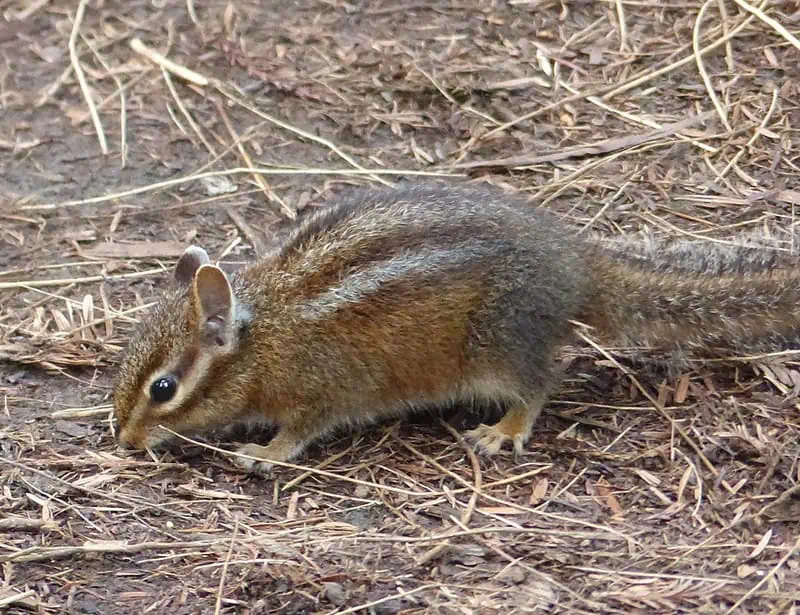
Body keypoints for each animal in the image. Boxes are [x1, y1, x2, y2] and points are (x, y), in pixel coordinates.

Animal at [112, 182, 800, 474]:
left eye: (163, 389)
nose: (124, 439)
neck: (267, 338)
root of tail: (576, 264)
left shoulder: (322, 390)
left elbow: (301, 432)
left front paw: (264, 453)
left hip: (496, 345)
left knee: (541, 381)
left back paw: (504, 430)